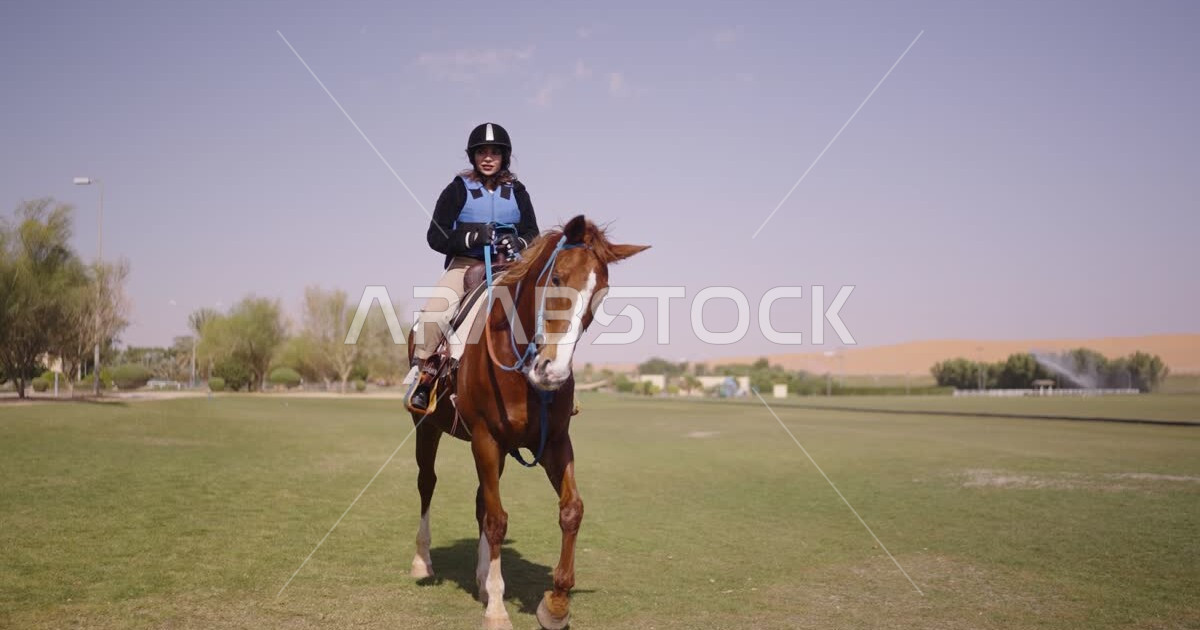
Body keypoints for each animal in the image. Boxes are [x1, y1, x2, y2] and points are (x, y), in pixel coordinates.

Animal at [404, 215, 648, 630]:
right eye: (557, 277)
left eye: (600, 292)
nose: (552, 371)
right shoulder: (485, 438)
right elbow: (498, 520)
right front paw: (498, 609)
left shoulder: (553, 443)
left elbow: (571, 510)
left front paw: (556, 603)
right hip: (429, 428)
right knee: (427, 483)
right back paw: (423, 562)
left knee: (480, 501)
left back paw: (482, 579)